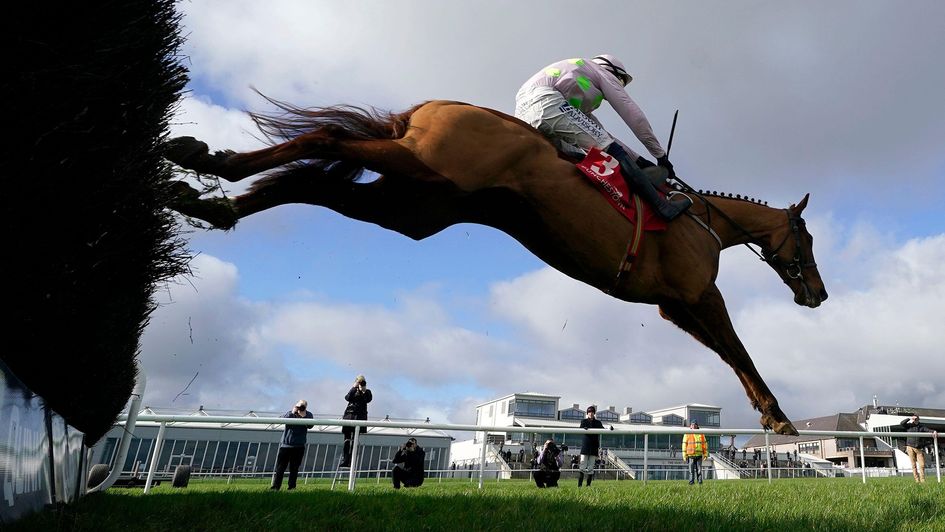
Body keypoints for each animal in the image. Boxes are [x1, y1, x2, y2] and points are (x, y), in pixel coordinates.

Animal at [166, 97, 824, 434]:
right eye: (809, 240)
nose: (817, 294)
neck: (702, 221)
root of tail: (426, 108)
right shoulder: (700, 295)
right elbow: (742, 352)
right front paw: (781, 420)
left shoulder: (676, 306)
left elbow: (730, 356)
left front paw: (772, 418)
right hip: (425, 169)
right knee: (326, 137)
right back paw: (207, 163)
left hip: (413, 207)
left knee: (315, 184)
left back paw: (213, 197)